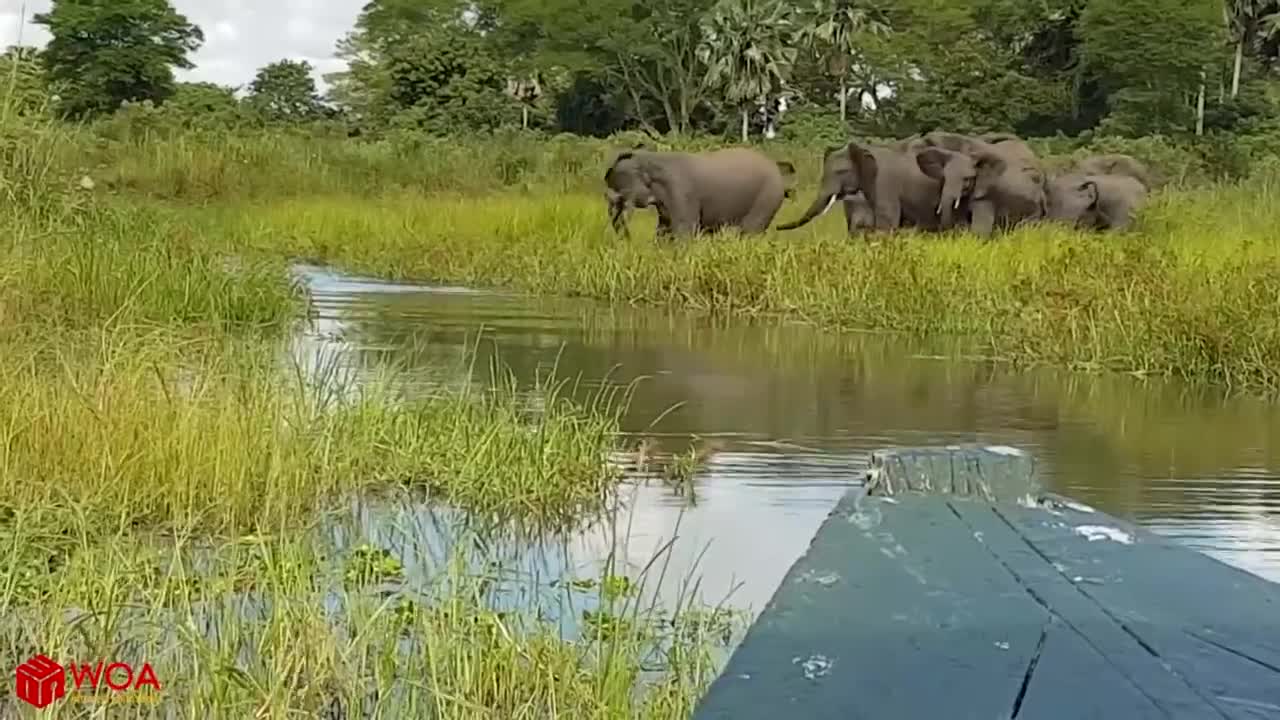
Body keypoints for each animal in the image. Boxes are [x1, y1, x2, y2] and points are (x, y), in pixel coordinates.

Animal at [604, 146, 793, 238]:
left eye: (623, 194)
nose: (627, 239)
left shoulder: (681, 191)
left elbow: (684, 229)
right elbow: (663, 230)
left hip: (768, 197)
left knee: (750, 231)